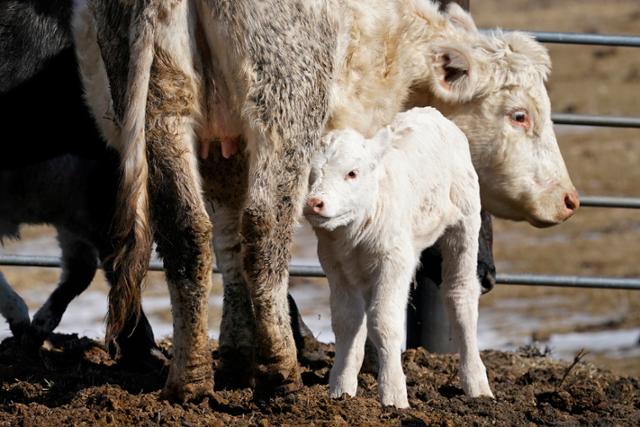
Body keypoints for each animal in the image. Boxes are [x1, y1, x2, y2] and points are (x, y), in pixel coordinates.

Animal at [302, 107, 492, 408]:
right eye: (311, 174)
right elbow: (347, 322)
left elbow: (384, 322)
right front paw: (341, 390)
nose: (313, 203)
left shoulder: (395, 261)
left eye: (352, 173)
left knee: (460, 295)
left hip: (465, 221)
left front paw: (394, 397)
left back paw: (476, 383)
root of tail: (432, 113)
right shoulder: (334, 265)